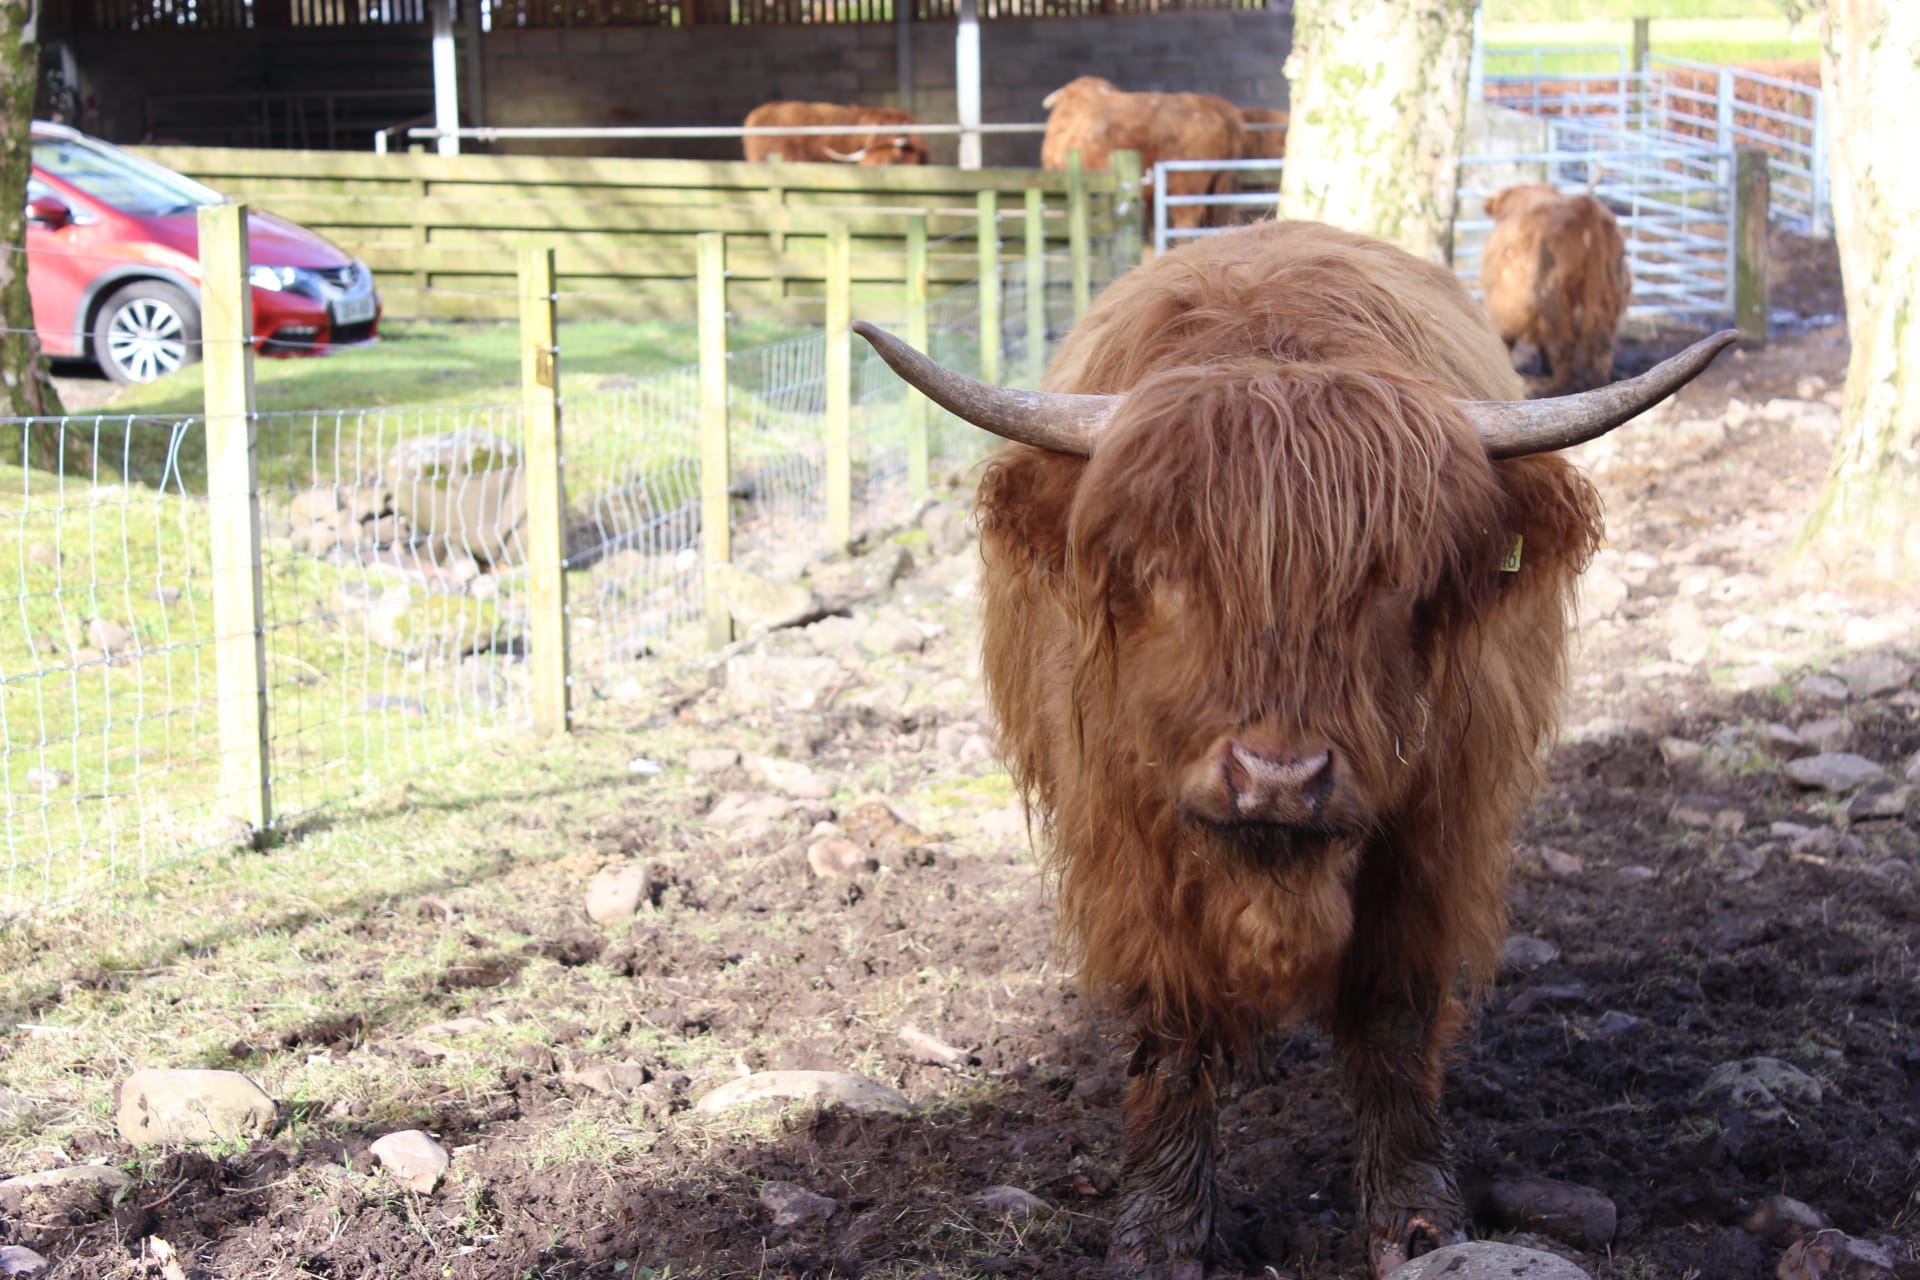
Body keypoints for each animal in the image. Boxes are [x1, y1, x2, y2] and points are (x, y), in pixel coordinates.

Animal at [848, 217, 1735, 1274]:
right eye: (1162, 569)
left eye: (1395, 581)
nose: (1278, 777)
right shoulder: (1126, 838)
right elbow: (1171, 1028)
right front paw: (1162, 1236)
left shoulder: (1434, 832)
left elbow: (1395, 1013)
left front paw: (1414, 1218)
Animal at [1474, 181, 1628, 395]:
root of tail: (1585, 209)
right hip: (1608, 296)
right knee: (1601, 345)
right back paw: (1596, 384)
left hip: (1553, 299)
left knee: (1563, 344)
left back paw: (1555, 387)